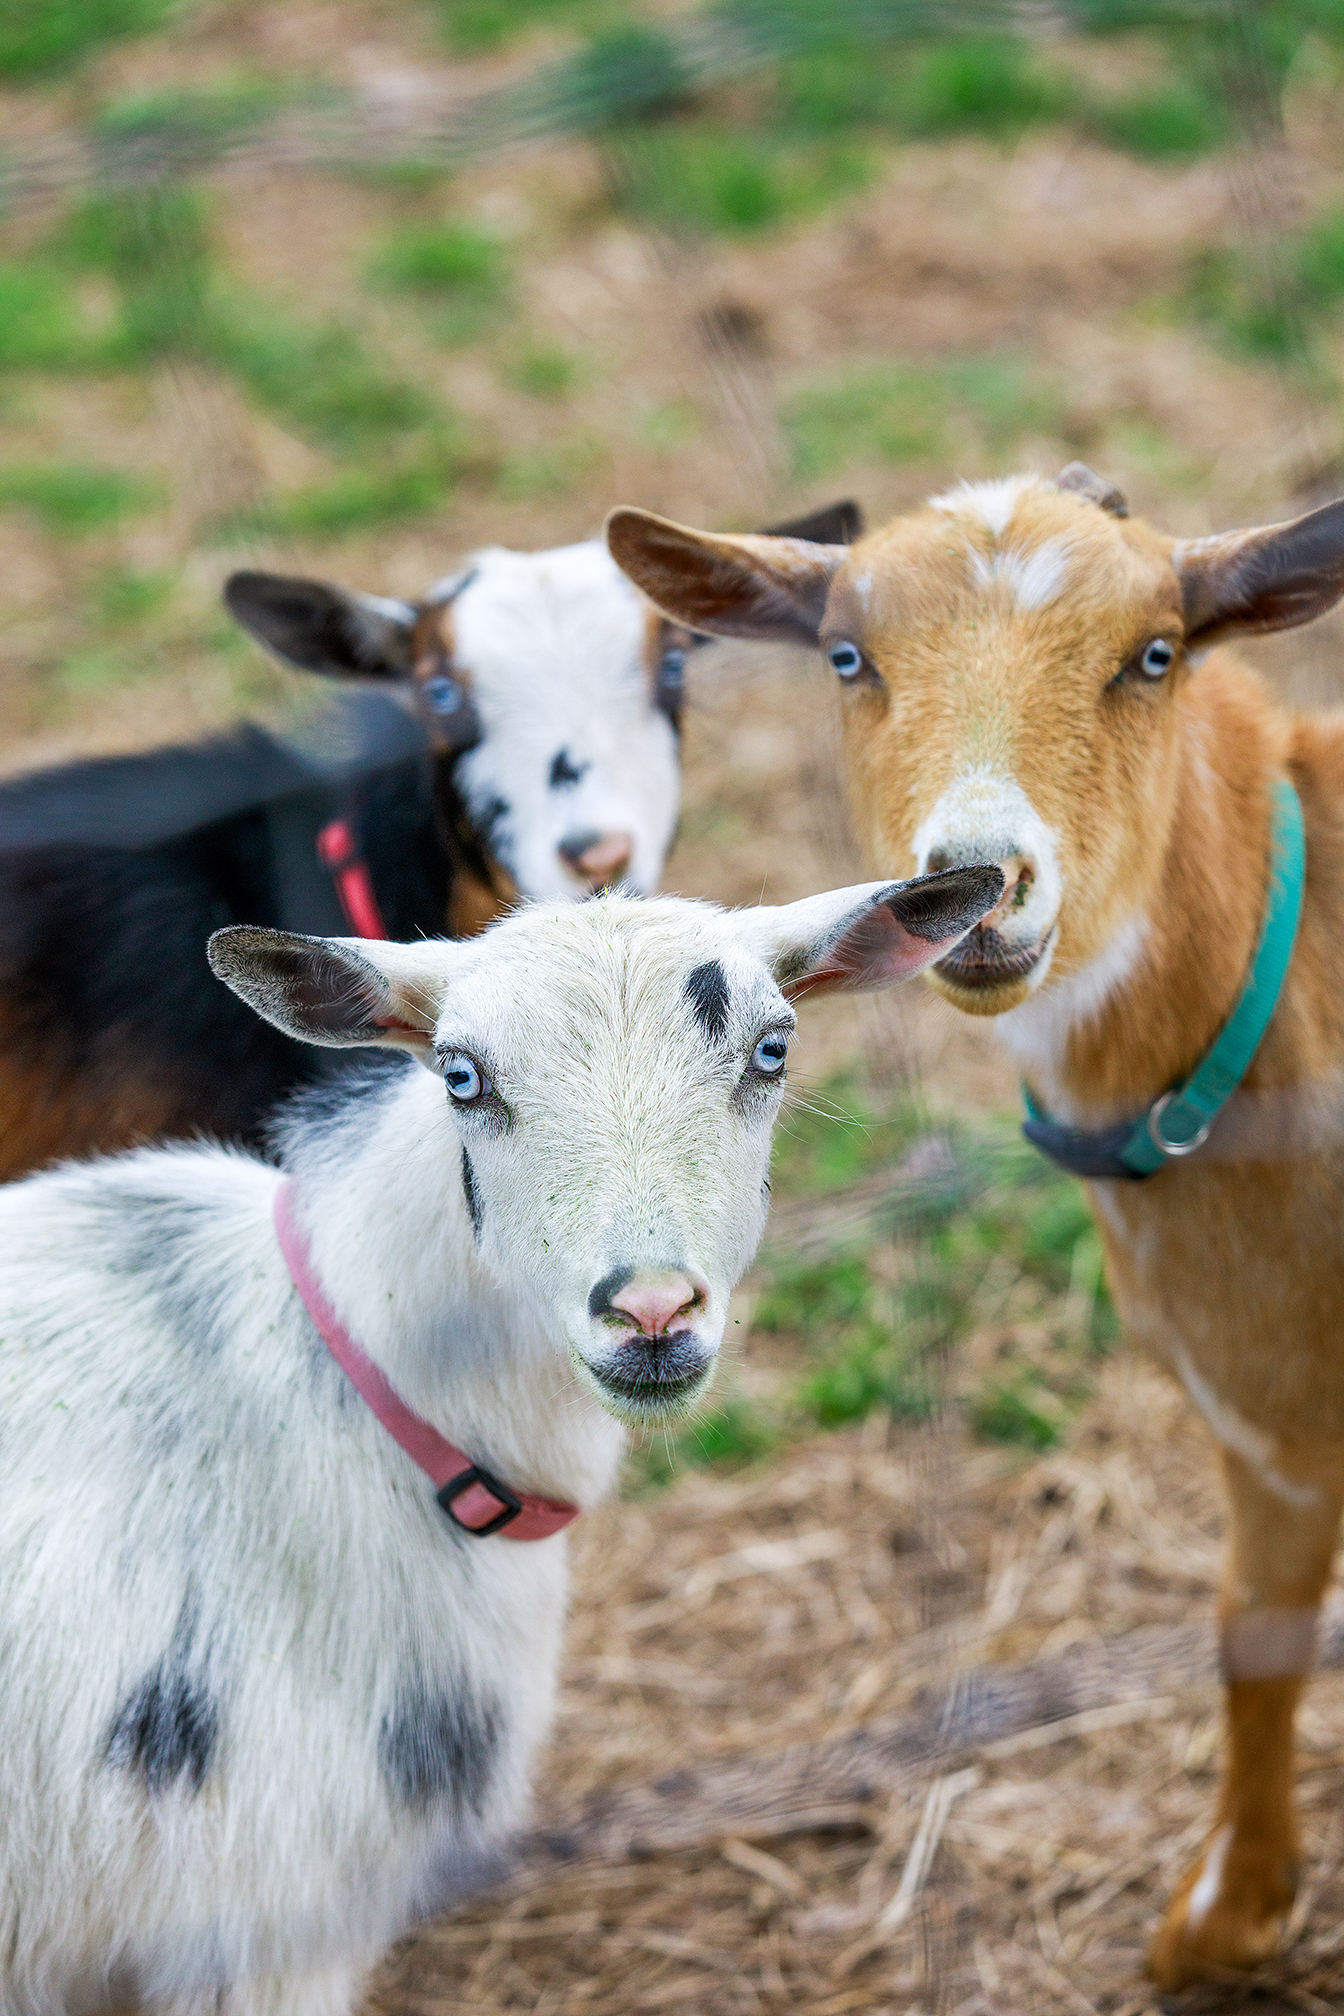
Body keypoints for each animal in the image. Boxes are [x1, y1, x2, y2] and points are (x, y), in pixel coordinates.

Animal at [608, 467, 1344, 1983]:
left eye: (1156, 653)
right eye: (847, 656)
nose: (983, 884)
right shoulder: (1267, 1418)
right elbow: (1251, 1632)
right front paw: (1230, 1913)